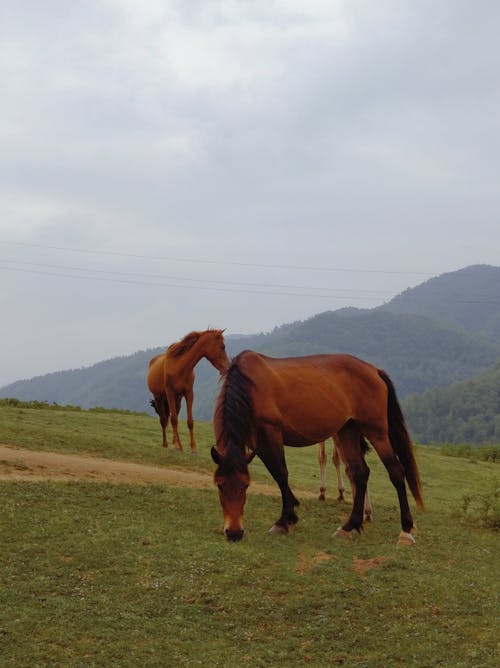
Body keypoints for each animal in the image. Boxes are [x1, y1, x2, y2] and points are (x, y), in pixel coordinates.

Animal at [211, 350, 422, 544]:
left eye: (246, 485)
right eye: (219, 485)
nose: (234, 533)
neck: (250, 388)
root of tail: (374, 370)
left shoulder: (271, 434)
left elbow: (281, 473)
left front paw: (284, 520)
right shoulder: (256, 443)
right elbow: (276, 473)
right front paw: (291, 513)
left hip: (376, 432)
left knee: (396, 472)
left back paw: (405, 530)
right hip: (348, 431)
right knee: (360, 473)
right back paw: (350, 525)